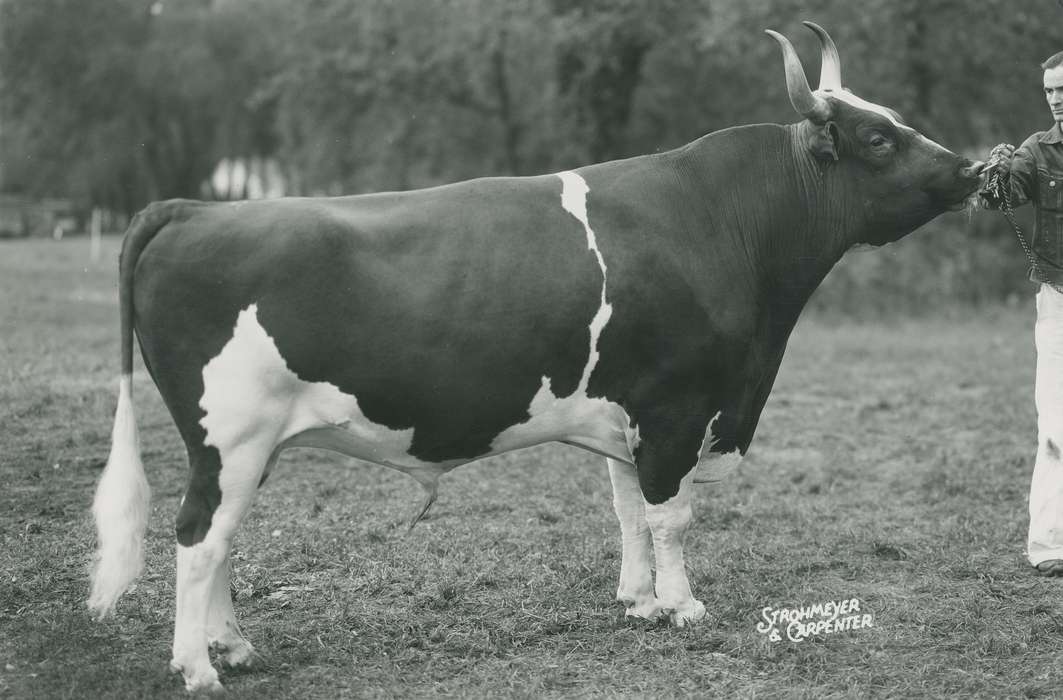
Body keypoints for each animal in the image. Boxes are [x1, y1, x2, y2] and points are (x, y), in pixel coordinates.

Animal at [88, 23, 983, 692]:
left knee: (222, 537)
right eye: (877, 137)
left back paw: (235, 648)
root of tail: (195, 208)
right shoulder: (677, 408)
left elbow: (628, 510)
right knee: (197, 536)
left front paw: (638, 602)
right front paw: (683, 607)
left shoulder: (630, 412)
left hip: (246, 445)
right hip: (231, 435)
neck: (722, 224)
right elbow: (671, 515)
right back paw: (198, 668)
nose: (972, 168)